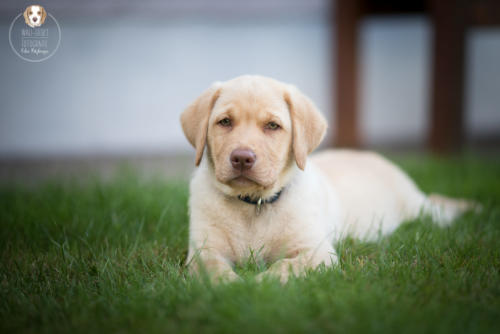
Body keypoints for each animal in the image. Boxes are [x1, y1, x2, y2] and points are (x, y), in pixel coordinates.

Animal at [182, 75, 474, 282]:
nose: (242, 158)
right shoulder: (201, 250)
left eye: (273, 126)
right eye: (225, 122)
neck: (255, 205)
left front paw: (260, 284)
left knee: (440, 209)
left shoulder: (318, 252)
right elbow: (212, 269)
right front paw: (229, 286)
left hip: (420, 210)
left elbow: (285, 267)